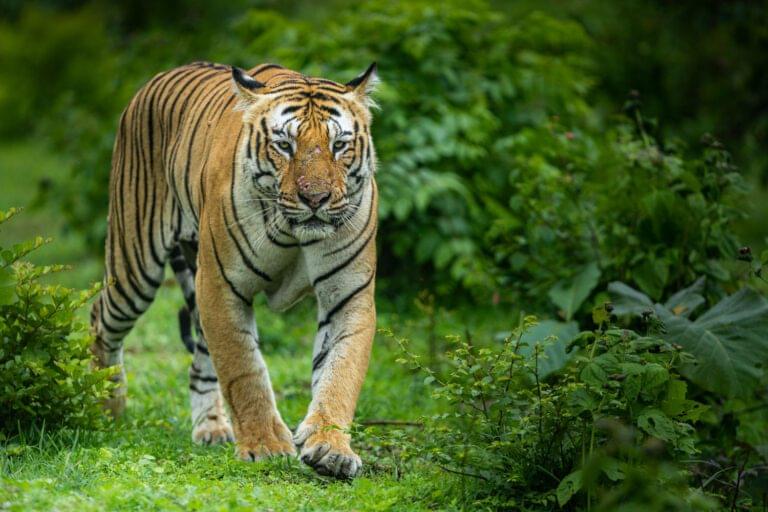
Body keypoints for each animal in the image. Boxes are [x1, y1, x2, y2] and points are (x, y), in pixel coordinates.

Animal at [89, 60, 379, 479]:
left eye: (339, 145)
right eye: (284, 145)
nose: (316, 198)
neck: (294, 233)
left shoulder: (349, 295)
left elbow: (340, 373)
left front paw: (331, 448)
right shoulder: (221, 286)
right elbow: (243, 369)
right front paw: (266, 445)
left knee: (199, 360)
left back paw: (211, 428)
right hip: (134, 264)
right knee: (101, 319)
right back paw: (108, 407)